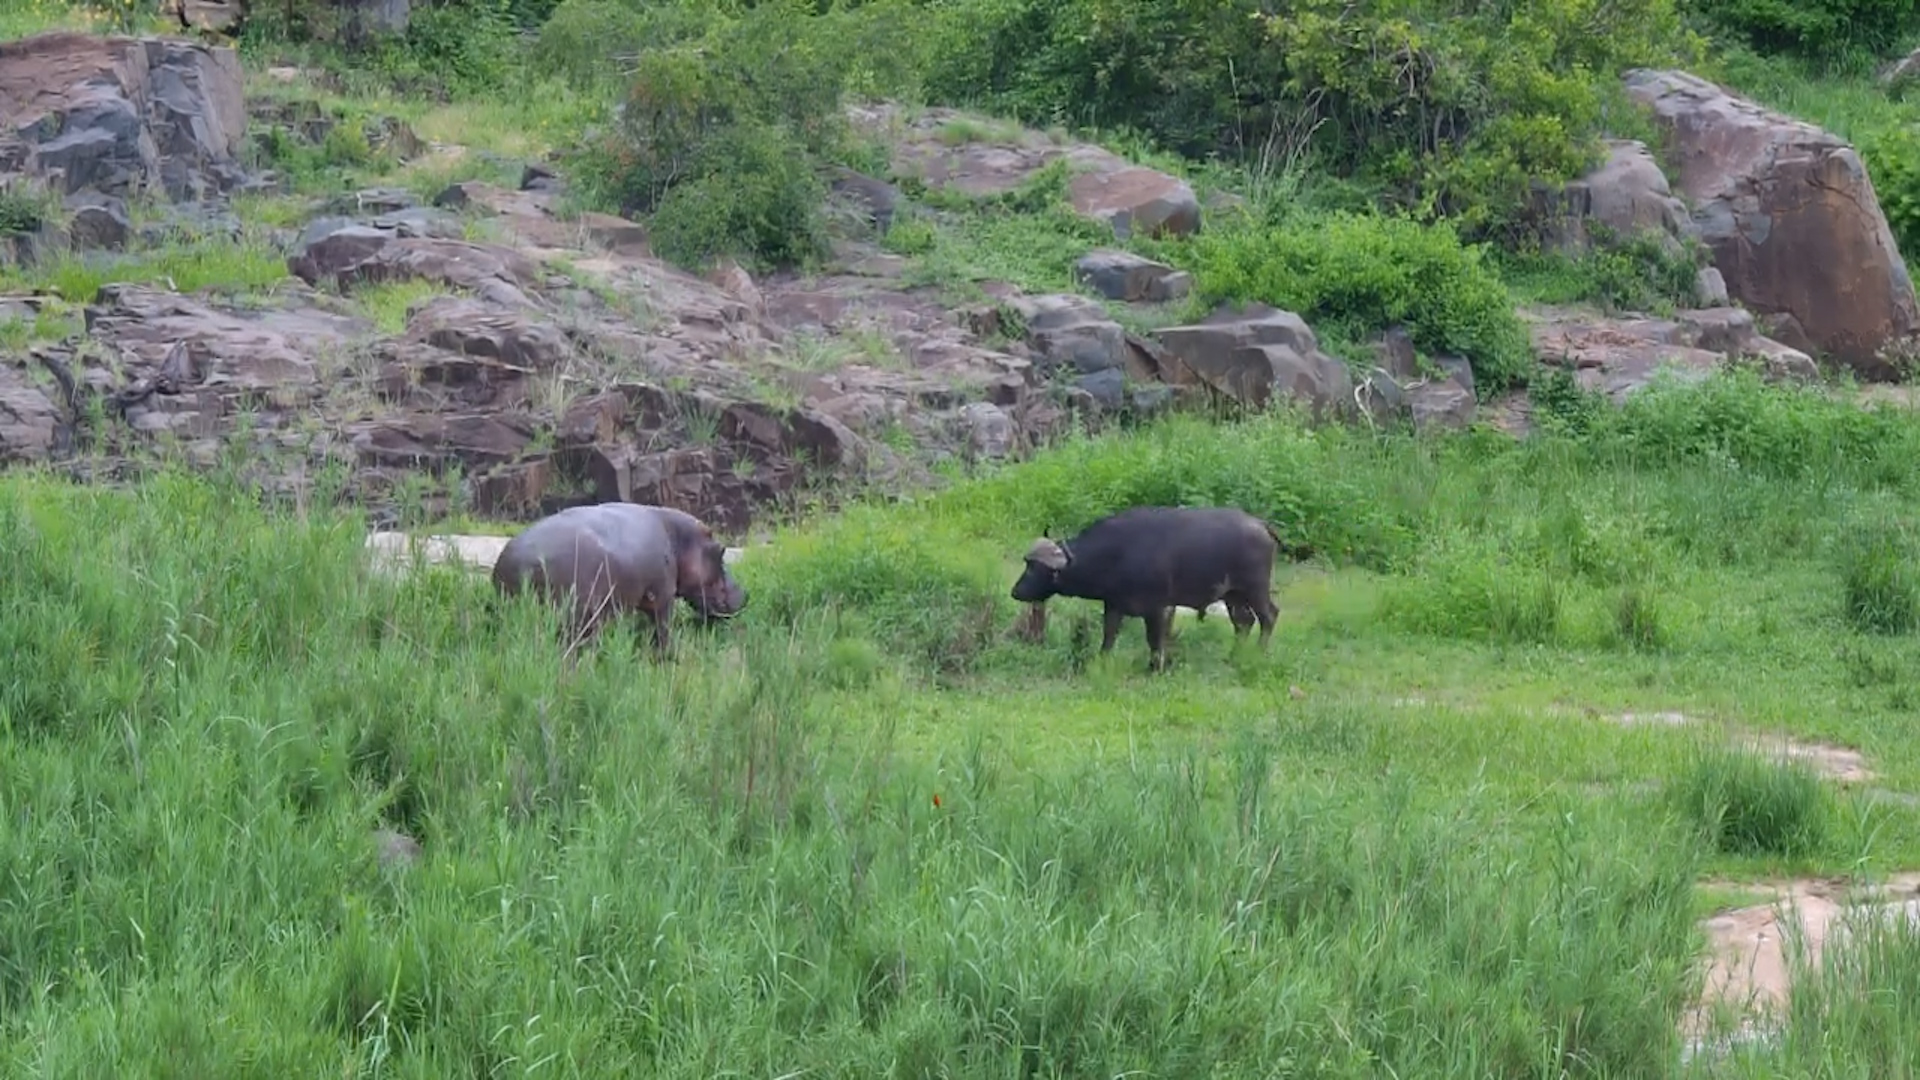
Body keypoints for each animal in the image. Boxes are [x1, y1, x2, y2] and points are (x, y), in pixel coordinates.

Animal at [491, 502, 748, 655]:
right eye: (721, 550)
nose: (745, 594)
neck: (681, 540)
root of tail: (510, 566)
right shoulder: (663, 597)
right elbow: (663, 628)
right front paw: (669, 655)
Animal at [1010, 505, 1301, 671]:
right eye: (1027, 563)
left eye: (1035, 568)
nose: (1016, 592)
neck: (1117, 554)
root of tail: (1262, 525)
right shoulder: (1114, 605)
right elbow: (1109, 636)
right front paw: (1101, 662)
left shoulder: (1157, 608)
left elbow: (1154, 640)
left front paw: (1155, 667)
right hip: (1233, 595)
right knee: (1243, 622)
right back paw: (1233, 657)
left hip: (1255, 588)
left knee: (1268, 616)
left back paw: (1258, 653)